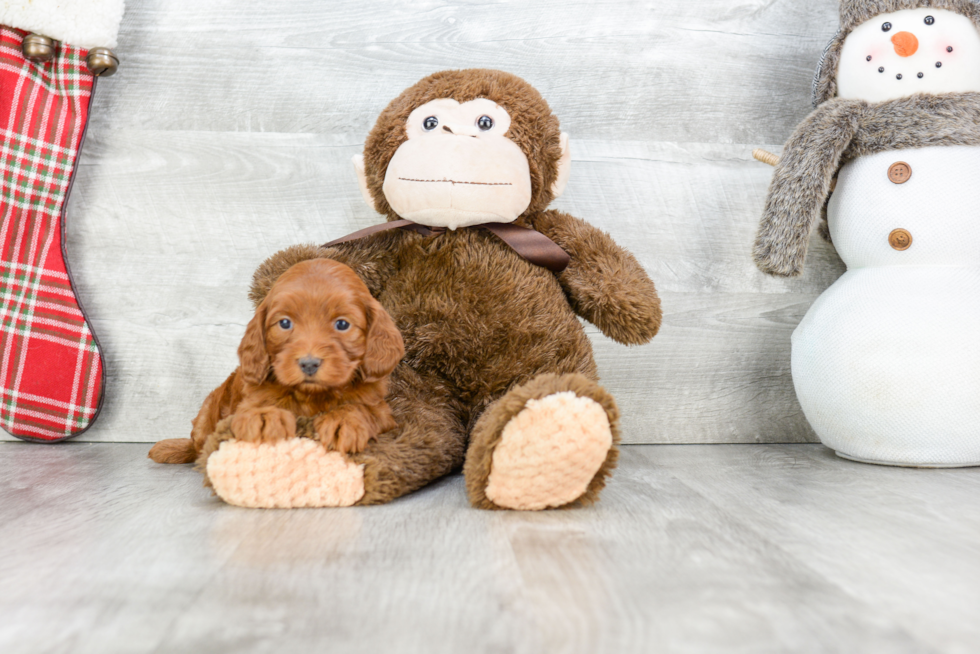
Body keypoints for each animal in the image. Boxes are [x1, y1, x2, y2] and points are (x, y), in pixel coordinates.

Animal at [149, 258, 402, 464]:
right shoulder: (245, 402)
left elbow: (362, 409)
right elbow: (256, 405)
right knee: (199, 446)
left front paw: (344, 421)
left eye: (342, 324)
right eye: (284, 323)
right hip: (208, 410)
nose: (309, 364)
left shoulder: (382, 411)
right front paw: (264, 418)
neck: (312, 396)